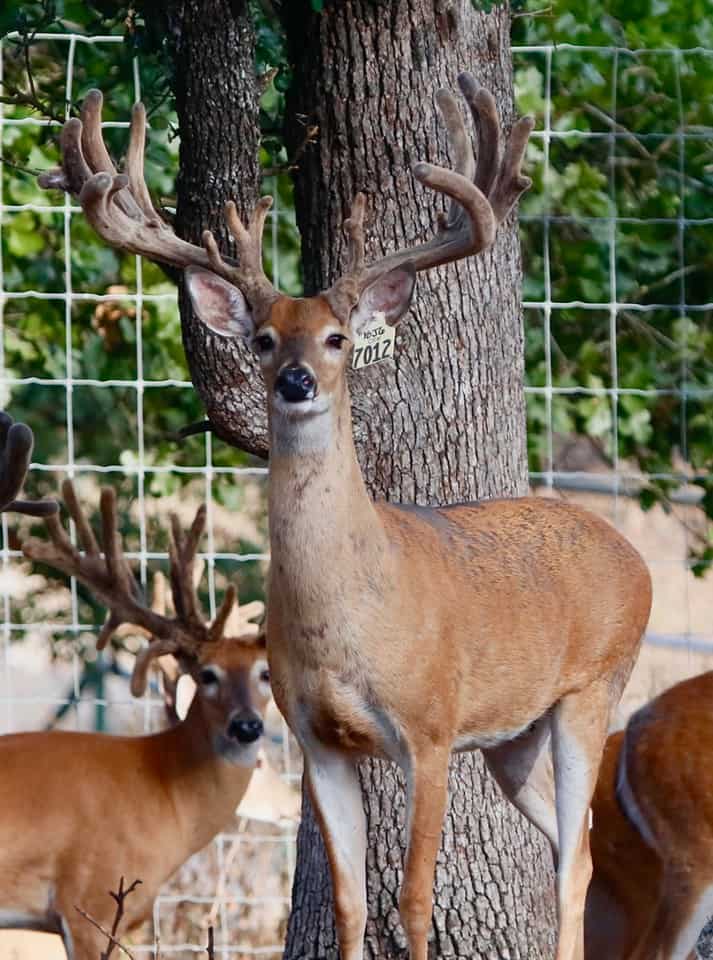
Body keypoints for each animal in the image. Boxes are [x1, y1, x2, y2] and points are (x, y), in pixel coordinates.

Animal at [39, 80, 653, 960]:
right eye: (264, 338)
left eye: (334, 337)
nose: (295, 380)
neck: (351, 615)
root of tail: (631, 556)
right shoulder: (317, 739)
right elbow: (351, 900)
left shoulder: (429, 727)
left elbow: (414, 898)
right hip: (514, 735)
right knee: (579, 841)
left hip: (594, 685)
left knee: (573, 858)